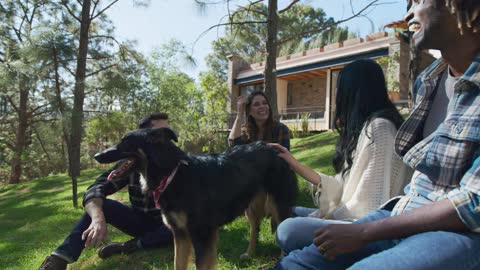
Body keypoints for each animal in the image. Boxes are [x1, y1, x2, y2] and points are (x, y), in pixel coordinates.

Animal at [94, 127, 296, 270]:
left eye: (125, 143)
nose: (96, 156)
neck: (172, 174)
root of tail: (272, 147)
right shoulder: (180, 233)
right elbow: (178, 264)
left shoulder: (202, 234)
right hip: (251, 207)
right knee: (255, 228)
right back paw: (249, 253)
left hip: (278, 204)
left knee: (282, 228)